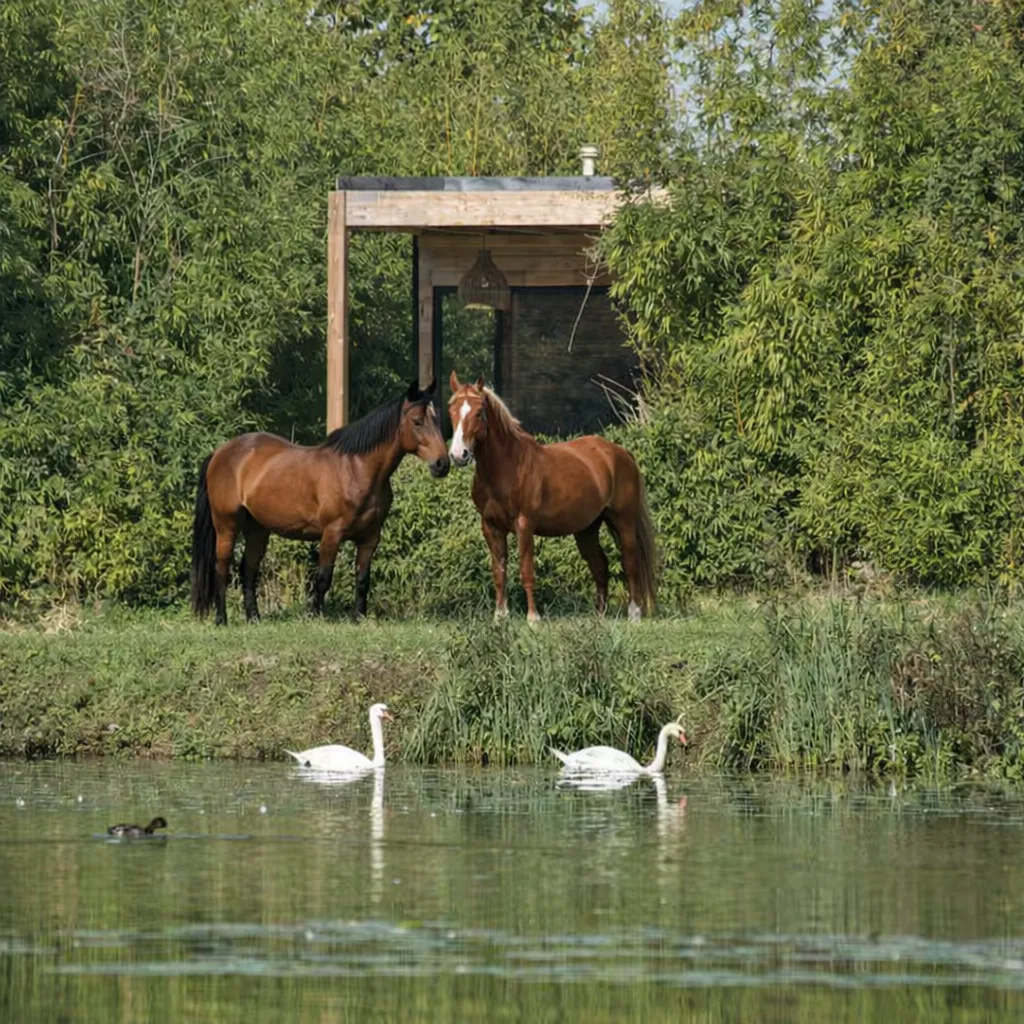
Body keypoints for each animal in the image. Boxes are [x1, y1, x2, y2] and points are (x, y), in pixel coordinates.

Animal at [191, 380, 448, 625]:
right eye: (417, 422)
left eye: (437, 420)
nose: (442, 464)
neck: (356, 469)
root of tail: (220, 453)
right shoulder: (332, 533)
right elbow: (323, 577)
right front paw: (315, 615)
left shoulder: (370, 538)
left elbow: (363, 580)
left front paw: (358, 617)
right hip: (226, 525)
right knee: (222, 568)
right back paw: (221, 619)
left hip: (257, 529)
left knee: (248, 569)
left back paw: (254, 618)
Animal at [446, 371, 656, 622]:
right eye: (451, 410)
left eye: (478, 412)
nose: (458, 455)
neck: (506, 467)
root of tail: (621, 454)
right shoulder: (491, 527)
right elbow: (499, 572)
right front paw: (500, 616)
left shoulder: (524, 525)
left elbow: (526, 571)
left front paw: (533, 618)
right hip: (587, 529)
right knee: (600, 565)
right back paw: (599, 615)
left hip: (623, 521)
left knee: (630, 563)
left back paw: (634, 614)